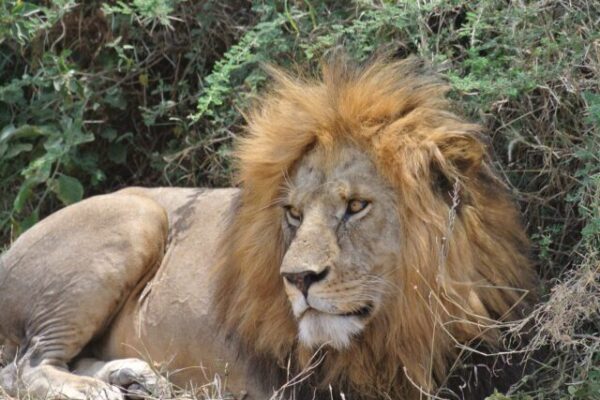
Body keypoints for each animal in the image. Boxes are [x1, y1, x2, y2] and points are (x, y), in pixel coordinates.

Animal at [0, 56, 536, 400]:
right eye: (293, 213)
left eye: (356, 206)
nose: (296, 279)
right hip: (135, 218)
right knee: (24, 366)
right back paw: (97, 390)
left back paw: (135, 377)